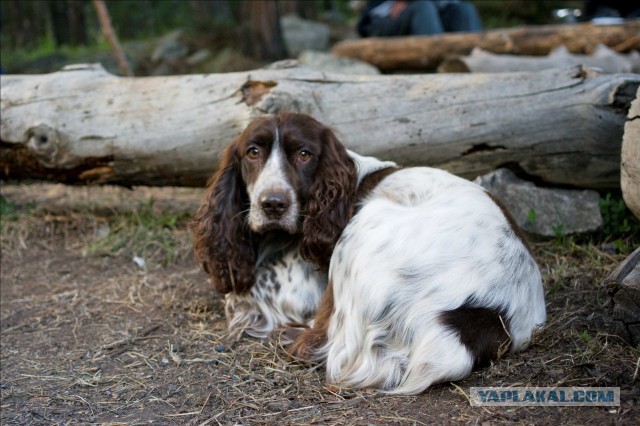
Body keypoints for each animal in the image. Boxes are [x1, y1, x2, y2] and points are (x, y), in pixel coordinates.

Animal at [191, 111, 544, 394]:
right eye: (253, 152)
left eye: (305, 154)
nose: (273, 204)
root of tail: (477, 316)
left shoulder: (297, 290)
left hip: (362, 227)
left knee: (323, 339)